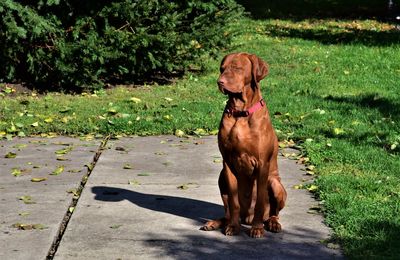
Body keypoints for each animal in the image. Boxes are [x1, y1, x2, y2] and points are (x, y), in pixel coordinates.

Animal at [202, 52, 286, 238]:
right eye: (222, 69)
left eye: (238, 68)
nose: (220, 82)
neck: (240, 112)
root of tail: (246, 218)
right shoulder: (227, 163)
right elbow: (233, 203)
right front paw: (233, 227)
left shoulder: (262, 164)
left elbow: (260, 201)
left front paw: (257, 228)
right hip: (221, 178)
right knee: (228, 211)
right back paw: (216, 222)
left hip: (275, 183)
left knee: (273, 212)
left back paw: (272, 223)